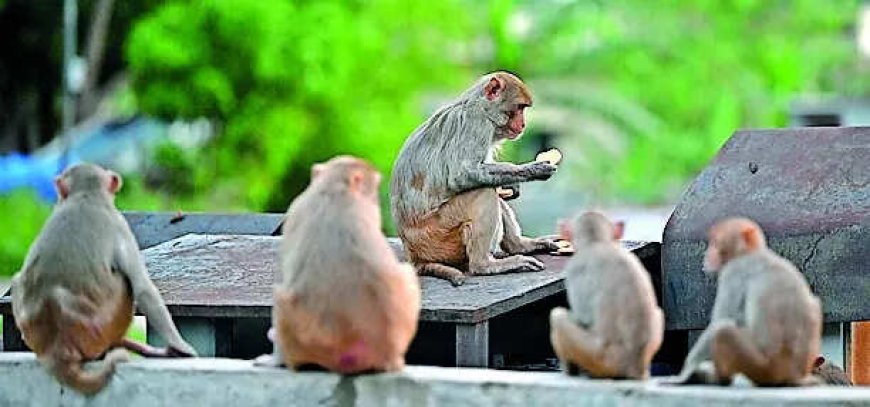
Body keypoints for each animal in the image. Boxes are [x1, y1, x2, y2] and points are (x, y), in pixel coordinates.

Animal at [10, 163, 197, 395]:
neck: (85, 195)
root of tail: (58, 349)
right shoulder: (121, 226)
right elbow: (143, 288)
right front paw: (183, 347)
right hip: (103, 328)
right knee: (125, 283)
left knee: (17, 279)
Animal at [390, 71, 560, 286]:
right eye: (520, 108)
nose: (523, 124)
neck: (480, 106)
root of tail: (413, 253)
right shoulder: (476, 123)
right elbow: (463, 174)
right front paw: (533, 169)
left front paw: (513, 183)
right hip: (437, 236)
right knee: (483, 191)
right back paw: (485, 265)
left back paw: (519, 246)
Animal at [548, 212, 663, 379]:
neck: (597, 242)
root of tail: (634, 365)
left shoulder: (575, 269)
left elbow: (582, 318)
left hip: (598, 358)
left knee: (558, 317)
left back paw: (569, 370)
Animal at [672, 217, 822, 386]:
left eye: (715, 243)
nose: (707, 254)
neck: (750, 253)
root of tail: (792, 374)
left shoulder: (732, 272)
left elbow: (722, 320)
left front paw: (685, 372)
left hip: (762, 368)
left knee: (723, 331)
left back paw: (719, 379)